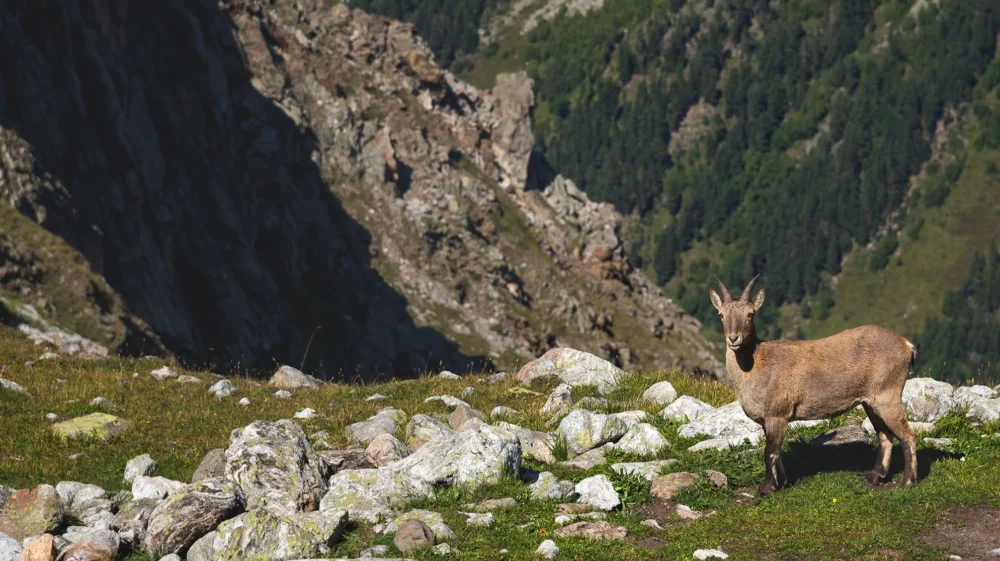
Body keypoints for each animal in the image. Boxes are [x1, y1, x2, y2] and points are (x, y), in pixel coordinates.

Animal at [709, 275, 918, 495]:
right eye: (721, 314)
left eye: (750, 314)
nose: (733, 338)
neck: (756, 363)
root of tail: (907, 345)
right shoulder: (769, 420)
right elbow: (777, 452)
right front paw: (781, 482)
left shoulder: (776, 414)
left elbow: (770, 451)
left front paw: (766, 487)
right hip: (871, 402)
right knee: (885, 436)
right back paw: (873, 478)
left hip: (887, 396)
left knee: (908, 435)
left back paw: (907, 481)